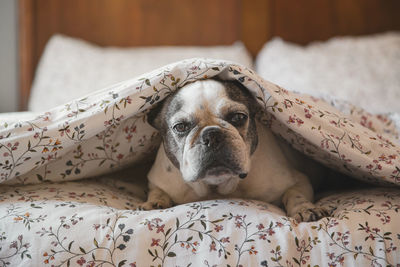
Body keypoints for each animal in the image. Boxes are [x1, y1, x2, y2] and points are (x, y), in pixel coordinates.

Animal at [142, 78, 330, 223]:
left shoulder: (297, 180)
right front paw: (154, 203)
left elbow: (294, 193)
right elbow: (157, 192)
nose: (212, 135)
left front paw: (304, 208)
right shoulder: (159, 181)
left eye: (239, 117)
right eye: (180, 127)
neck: (217, 188)